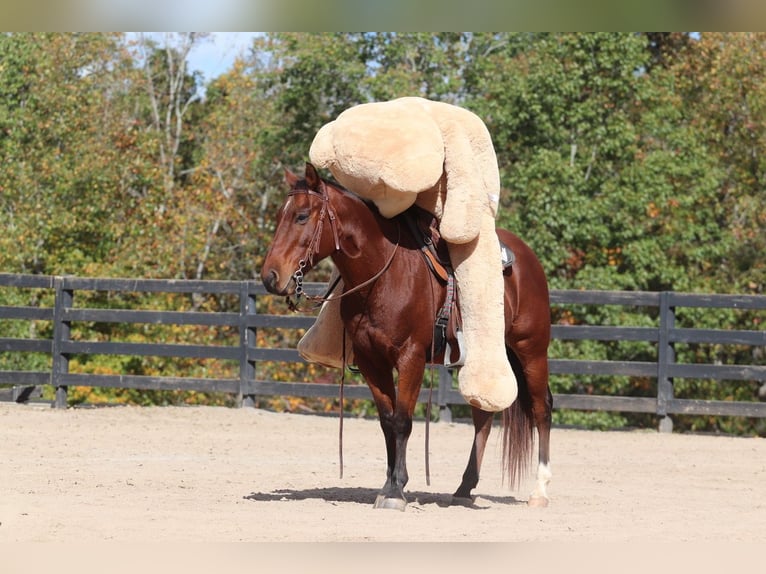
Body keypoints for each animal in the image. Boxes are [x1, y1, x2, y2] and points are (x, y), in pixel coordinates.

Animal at [262, 163, 552, 512]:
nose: (270, 277)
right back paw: (464, 488)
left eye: (302, 216)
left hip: (531, 350)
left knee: (541, 409)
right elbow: (387, 422)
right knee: (483, 414)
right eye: (280, 215)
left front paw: (396, 491)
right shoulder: (371, 361)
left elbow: (403, 420)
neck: (384, 274)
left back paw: (539, 491)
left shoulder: (410, 357)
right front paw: (389, 484)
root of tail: (528, 258)